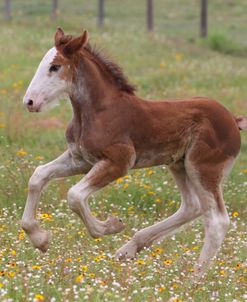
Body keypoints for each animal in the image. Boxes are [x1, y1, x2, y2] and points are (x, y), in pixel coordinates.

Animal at [22, 28, 246, 276]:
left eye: (55, 66)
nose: (29, 101)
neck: (98, 111)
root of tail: (233, 120)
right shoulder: (80, 159)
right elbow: (38, 176)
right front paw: (40, 239)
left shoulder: (119, 162)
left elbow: (75, 195)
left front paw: (110, 225)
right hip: (179, 165)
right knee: (192, 206)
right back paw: (129, 248)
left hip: (203, 168)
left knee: (217, 221)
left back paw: (193, 279)